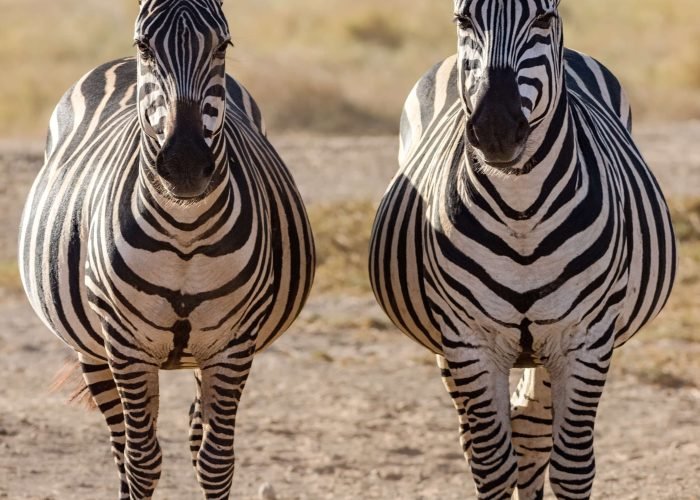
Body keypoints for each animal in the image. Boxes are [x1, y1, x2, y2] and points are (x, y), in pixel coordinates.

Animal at [18, 1, 314, 498]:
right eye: (145, 46)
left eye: (222, 45)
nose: (185, 166)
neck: (185, 231)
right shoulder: (124, 344)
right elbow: (141, 462)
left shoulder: (234, 343)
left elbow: (216, 462)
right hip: (92, 350)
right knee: (122, 447)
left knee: (195, 434)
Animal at [369, 1, 676, 499]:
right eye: (463, 20)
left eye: (543, 18)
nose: (495, 130)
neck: (521, 213)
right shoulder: (467, 339)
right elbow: (492, 464)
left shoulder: (586, 339)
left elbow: (571, 468)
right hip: (447, 342)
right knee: (487, 439)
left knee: (532, 431)